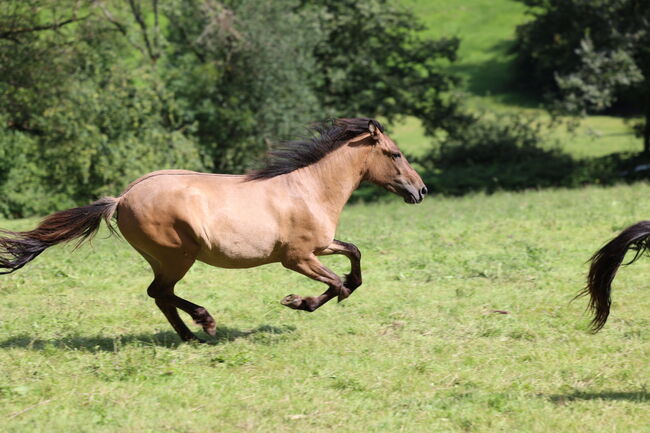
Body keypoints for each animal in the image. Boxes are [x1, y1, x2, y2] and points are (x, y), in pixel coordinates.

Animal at [0, 118, 426, 340]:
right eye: (395, 154)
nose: (420, 190)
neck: (308, 190)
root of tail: (121, 199)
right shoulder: (297, 258)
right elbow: (338, 285)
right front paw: (296, 302)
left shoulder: (320, 246)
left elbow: (354, 258)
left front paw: (306, 299)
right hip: (178, 255)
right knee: (160, 292)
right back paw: (204, 323)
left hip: (164, 258)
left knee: (160, 295)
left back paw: (189, 336)